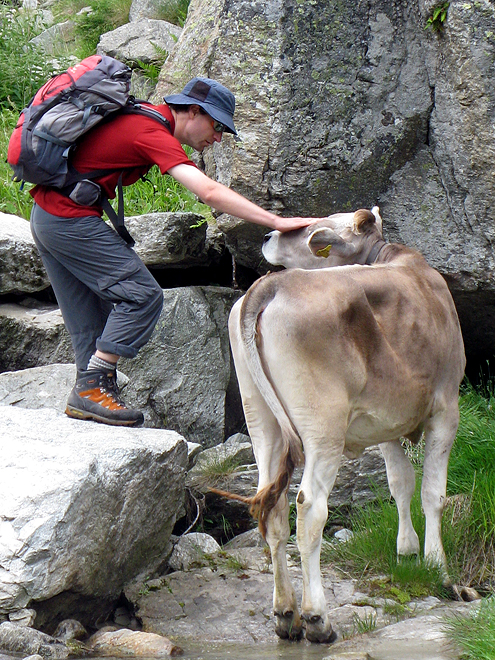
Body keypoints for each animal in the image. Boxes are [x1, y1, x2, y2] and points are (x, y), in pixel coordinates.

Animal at [227, 207, 466, 644]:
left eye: (310, 227)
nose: (267, 234)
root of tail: (270, 285)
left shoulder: (384, 419)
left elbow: (399, 482)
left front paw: (407, 552)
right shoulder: (446, 406)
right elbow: (432, 492)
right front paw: (438, 568)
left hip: (261, 420)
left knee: (273, 508)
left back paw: (286, 614)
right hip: (323, 425)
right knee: (309, 508)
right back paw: (317, 618)